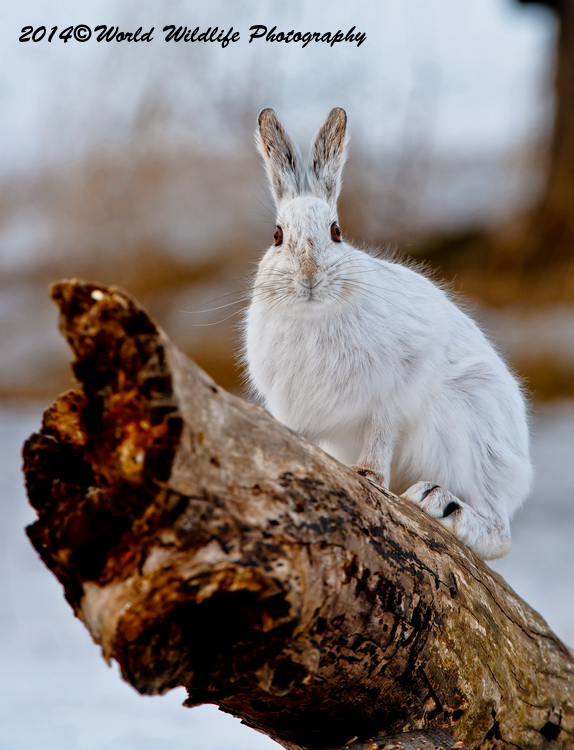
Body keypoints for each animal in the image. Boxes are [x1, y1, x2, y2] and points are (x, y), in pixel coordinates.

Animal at [244, 107, 532, 561]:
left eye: (336, 232)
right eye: (277, 236)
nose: (309, 278)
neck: (314, 313)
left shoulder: (393, 392)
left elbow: (381, 433)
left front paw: (369, 475)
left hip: (471, 426)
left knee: (499, 533)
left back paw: (440, 503)